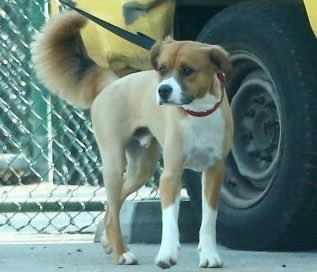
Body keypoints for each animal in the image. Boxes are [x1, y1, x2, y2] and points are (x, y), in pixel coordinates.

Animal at [31, 11, 232, 268]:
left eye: (187, 70)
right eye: (162, 69)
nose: (162, 90)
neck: (197, 113)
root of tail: (111, 84)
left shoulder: (215, 171)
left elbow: (208, 221)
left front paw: (209, 255)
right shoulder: (170, 175)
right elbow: (169, 222)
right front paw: (166, 254)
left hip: (140, 170)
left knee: (112, 207)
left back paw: (110, 242)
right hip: (114, 164)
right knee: (113, 210)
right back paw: (121, 254)